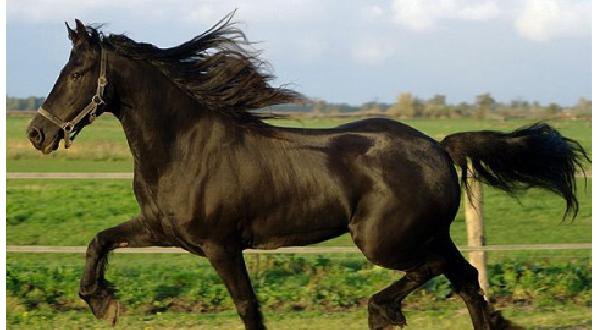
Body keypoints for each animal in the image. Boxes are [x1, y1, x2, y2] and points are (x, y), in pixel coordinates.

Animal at [27, 15, 584, 330]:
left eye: (77, 72)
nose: (37, 134)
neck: (185, 146)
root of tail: (437, 147)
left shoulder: (219, 245)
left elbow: (248, 308)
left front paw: (103, 302)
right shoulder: (164, 231)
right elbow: (100, 240)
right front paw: (101, 302)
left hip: (385, 241)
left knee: (437, 272)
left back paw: (381, 311)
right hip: (424, 234)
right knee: (464, 276)